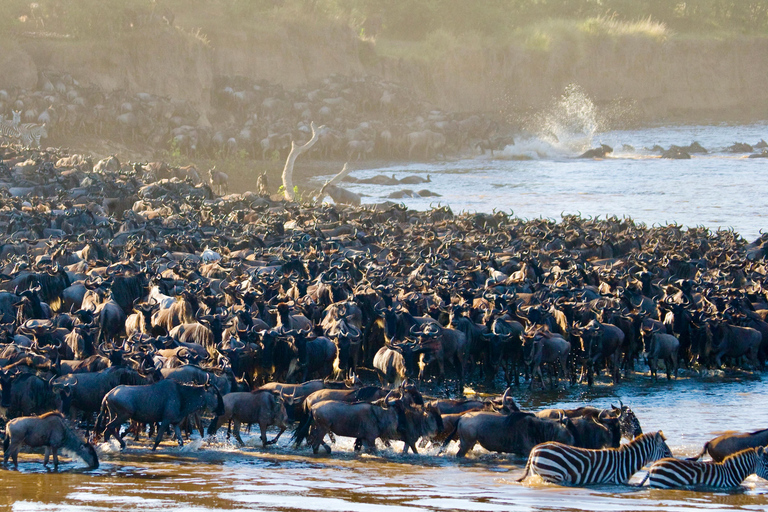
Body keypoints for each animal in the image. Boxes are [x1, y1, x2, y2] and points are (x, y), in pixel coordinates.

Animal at [516, 432, 672, 484]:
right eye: (666, 452)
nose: (672, 461)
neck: (626, 462)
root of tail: (535, 449)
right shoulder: (613, 481)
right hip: (553, 474)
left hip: (537, 473)